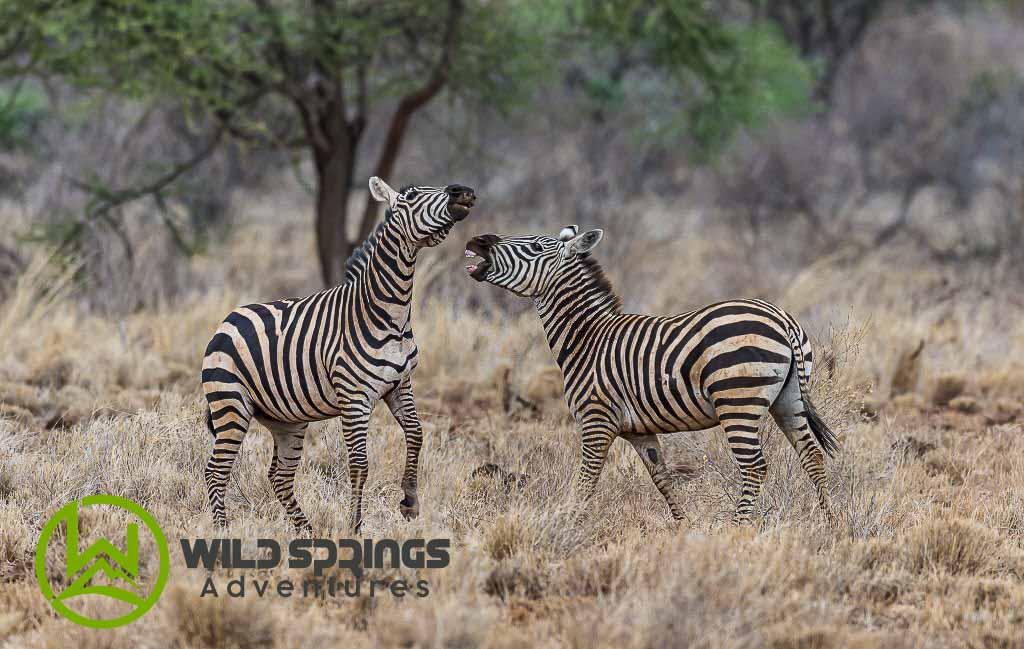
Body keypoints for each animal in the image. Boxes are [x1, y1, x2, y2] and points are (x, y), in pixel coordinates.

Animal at [201, 176, 477, 532]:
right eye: (412, 195)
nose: (461, 190)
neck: (390, 314)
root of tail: (227, 319)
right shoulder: (355, 397)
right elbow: (359, 464)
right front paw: (355, 526)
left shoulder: (400, 385)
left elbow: (416, 434)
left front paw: (410, 502)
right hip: (230, 404)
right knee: (216, 471)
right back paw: (223, 531)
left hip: (286, 420)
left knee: (279, 476)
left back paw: (307, 531)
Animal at [464, 225, 839, 524]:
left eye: (534, 247)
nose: (478, 240)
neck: (587, 338)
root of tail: (782, 320)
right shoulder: (639, 431)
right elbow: (662, 478)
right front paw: (683, 525)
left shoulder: (596, 419)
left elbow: (586, 481)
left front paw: (567, 525)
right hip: (788, 399)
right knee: (812, 455)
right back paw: (832, 522)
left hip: (737, 402)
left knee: (755, 466)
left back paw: (738, 528)